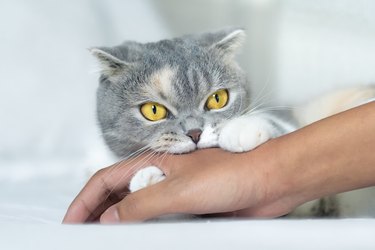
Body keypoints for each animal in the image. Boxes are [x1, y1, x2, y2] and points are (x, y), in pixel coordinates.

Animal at [90, 27, 375, 217]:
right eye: (153, 110)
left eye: (217, 99)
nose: (195, 132)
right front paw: (145, 179)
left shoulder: (285, 120)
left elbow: (270, 122)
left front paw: (240, 129)